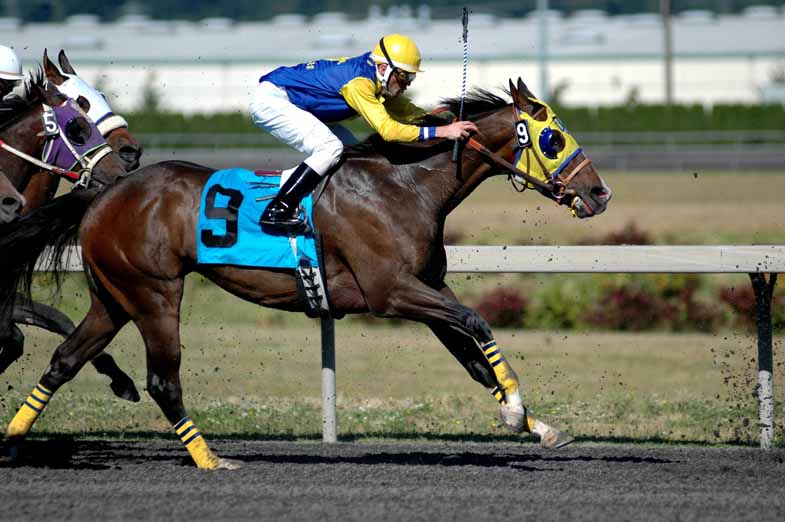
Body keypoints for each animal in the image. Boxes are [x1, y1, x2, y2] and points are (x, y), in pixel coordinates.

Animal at [1, 79, 612, 470]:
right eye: (553, 137)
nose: (599, 192)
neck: (407, 186)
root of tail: (105, 194)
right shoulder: (392, 293)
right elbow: (477, 323)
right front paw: (516, 412)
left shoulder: (427, 287)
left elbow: (473, 355)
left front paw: (535, 423)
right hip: (153, 292)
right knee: (161, 380)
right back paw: (210, 459)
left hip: (113, 295)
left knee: (64, 360)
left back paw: (12, 443)